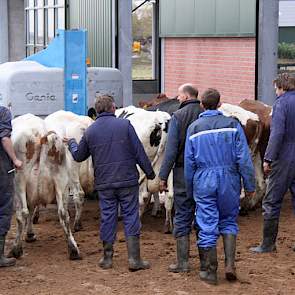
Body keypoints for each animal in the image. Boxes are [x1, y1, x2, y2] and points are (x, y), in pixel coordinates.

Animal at [9, 114, 81, 260]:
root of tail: (41, 133)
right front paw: (30, 234)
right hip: (62, 183)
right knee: (63, 213)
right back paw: (73, 249)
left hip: (19, 180)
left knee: (23, 213)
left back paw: (16, 249)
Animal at [115, 106, 175, 234]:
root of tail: (159, 119)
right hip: (169, 164)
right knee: (170, 195)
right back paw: (168, 226)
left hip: (141, 165)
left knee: (142, 196)